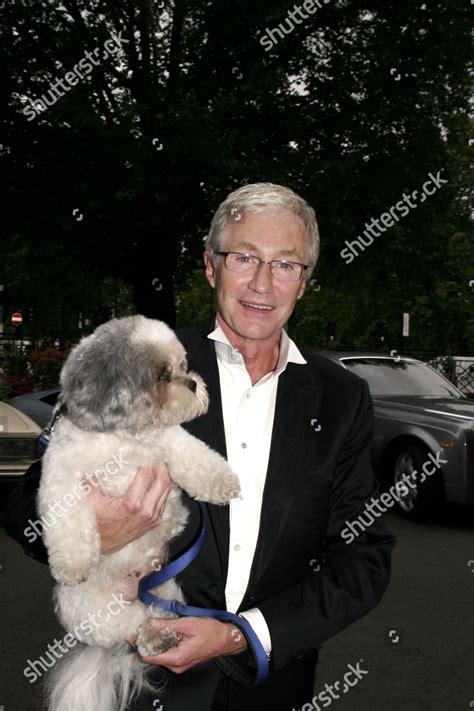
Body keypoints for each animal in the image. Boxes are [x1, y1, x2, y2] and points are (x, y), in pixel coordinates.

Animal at [38, 318, 241, 711]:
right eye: (163, 375)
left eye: (182, 366)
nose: (193, 384)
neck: (122, 439)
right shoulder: (62, 475)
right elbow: (67, 522)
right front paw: (72, 563)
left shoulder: (170, 442)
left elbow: (198, 458)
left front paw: (222, 482)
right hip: (94, 613)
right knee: (134, 626)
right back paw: (152, 640)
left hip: (167, 589)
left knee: (157, 615)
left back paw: (162, 635)